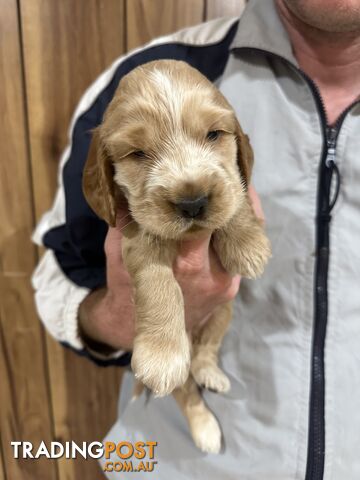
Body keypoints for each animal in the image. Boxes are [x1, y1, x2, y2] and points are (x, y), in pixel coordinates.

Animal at [83, 60, 270, 454]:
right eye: (138, 153)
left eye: (214, 134)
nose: (193, 202)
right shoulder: (137, 235)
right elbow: (159, 285)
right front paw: (161, 354)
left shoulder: (230, 181)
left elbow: (235, 191)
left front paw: (248, 244)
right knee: (185, 390)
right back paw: (205, 430)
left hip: (223, 313)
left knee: (205, 350)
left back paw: (211, 374)